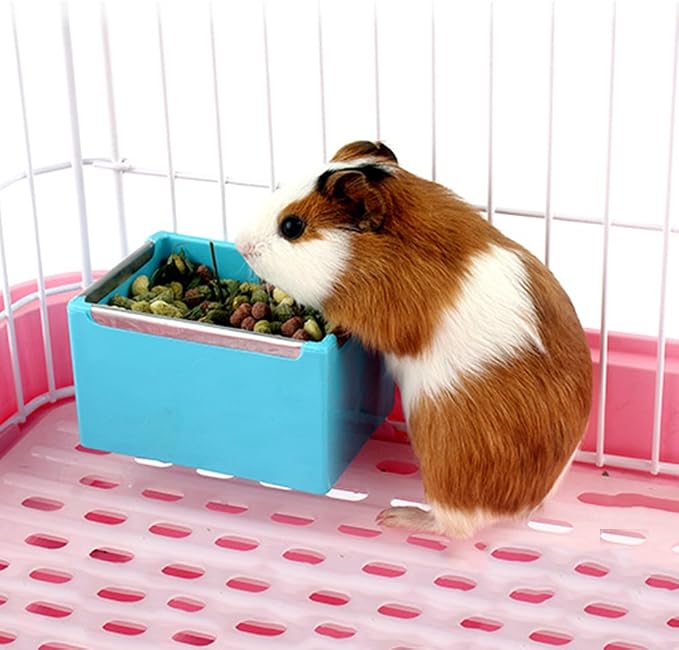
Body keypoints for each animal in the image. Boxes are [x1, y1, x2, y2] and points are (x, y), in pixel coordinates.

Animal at [235, 140, 592, 538]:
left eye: (292, 226)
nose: (241, 242)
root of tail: (524, 505)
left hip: (442, 457)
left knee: (453, 525)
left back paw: (394, 517)